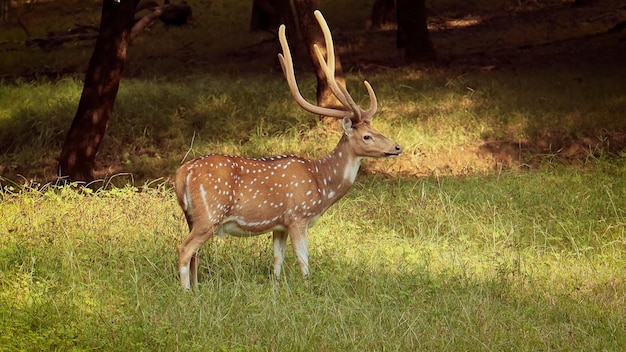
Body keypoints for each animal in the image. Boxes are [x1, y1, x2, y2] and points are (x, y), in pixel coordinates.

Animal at [173, 11, 402, 288]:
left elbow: (277, 261)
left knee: (194, 253)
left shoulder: (278, 226)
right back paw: (186, 292)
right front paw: (308, 288)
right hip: (209, 214)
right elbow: (304, 262)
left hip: (192, 217)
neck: (322, 183)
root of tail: (182, 174)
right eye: (367, 136)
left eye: (376, 129)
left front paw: (276, 288)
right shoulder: (297, 216)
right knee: (184, 249)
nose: (397, 147)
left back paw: (197, 288)